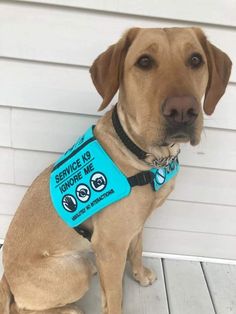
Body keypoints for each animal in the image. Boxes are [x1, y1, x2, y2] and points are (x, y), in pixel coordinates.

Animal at [0, 27, 232, 314]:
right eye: (144, 62)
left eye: (196, 60)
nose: (182, 110)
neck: (146, 157)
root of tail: (6, 278)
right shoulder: (110, 247)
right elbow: (114, 296)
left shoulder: (137, 225)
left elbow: (138, 248)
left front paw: (140, 274)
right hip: (75, 270)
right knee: (21, 308)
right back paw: (70, 308)